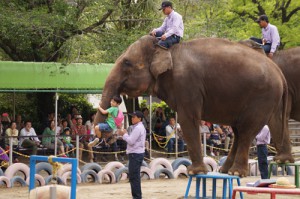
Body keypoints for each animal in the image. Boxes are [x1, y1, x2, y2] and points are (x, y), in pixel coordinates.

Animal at [94, 35, 292, 176]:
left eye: (127, 62)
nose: (101, 132)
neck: (166, 48)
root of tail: (279, 72)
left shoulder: (187, 84)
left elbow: (188, 120)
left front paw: (193, 172)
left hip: (262, 97)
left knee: (246, 131)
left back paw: (236, 172)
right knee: (242, 131)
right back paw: (227, 170)